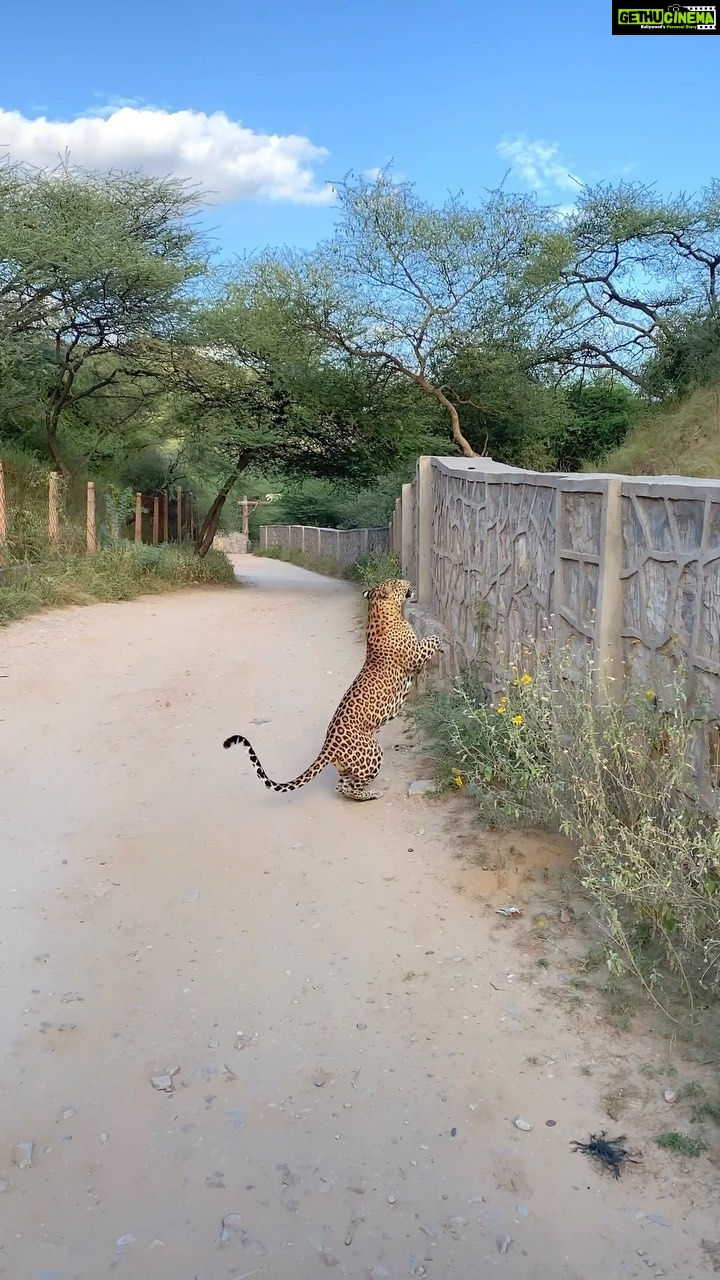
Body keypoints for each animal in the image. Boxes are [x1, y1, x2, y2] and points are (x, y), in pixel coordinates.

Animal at [223, 577, 441, 801]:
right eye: (397, 583)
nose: (408, 581)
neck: (381, 610)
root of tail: (328, 746)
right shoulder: (414, 655)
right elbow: (430, 641)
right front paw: (439, 638)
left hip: (352, 764)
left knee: (341, 786)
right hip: (373, 752)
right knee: (349, 786)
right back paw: (372, 793)